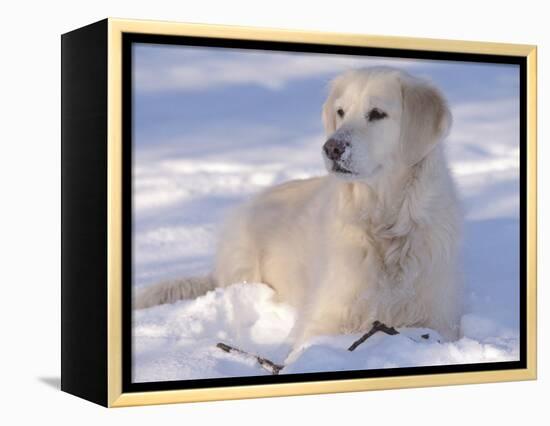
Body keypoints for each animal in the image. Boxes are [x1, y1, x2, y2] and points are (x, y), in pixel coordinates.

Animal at [136, 67, 464, 346]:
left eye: (377, 114)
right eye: (341, 112)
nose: (332, 147)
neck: (385, 221)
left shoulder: (438, 320)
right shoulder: (325, 317)